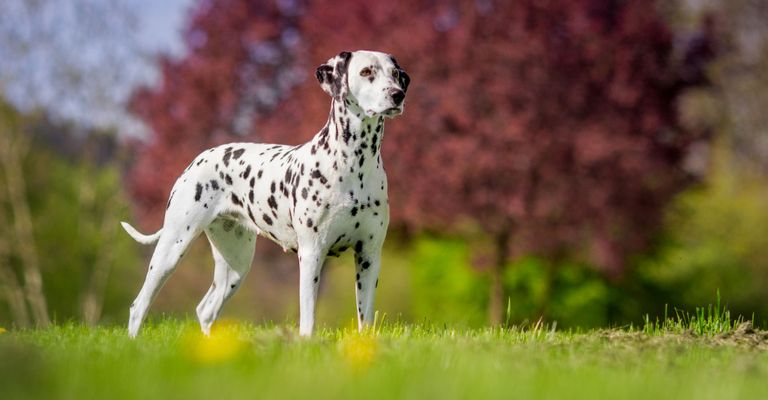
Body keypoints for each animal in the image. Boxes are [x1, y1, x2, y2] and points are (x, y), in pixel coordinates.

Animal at [121, 50, 408, 338]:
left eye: (394, 73)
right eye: (366, 72)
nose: (398, 94)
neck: (355, 163)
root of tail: (199, 159)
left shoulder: (369, 255)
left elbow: (365, 319)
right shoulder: (312, 254)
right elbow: (308, 321)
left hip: (235, 264)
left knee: (206, 310)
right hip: (172, 247)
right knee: (138, 306)